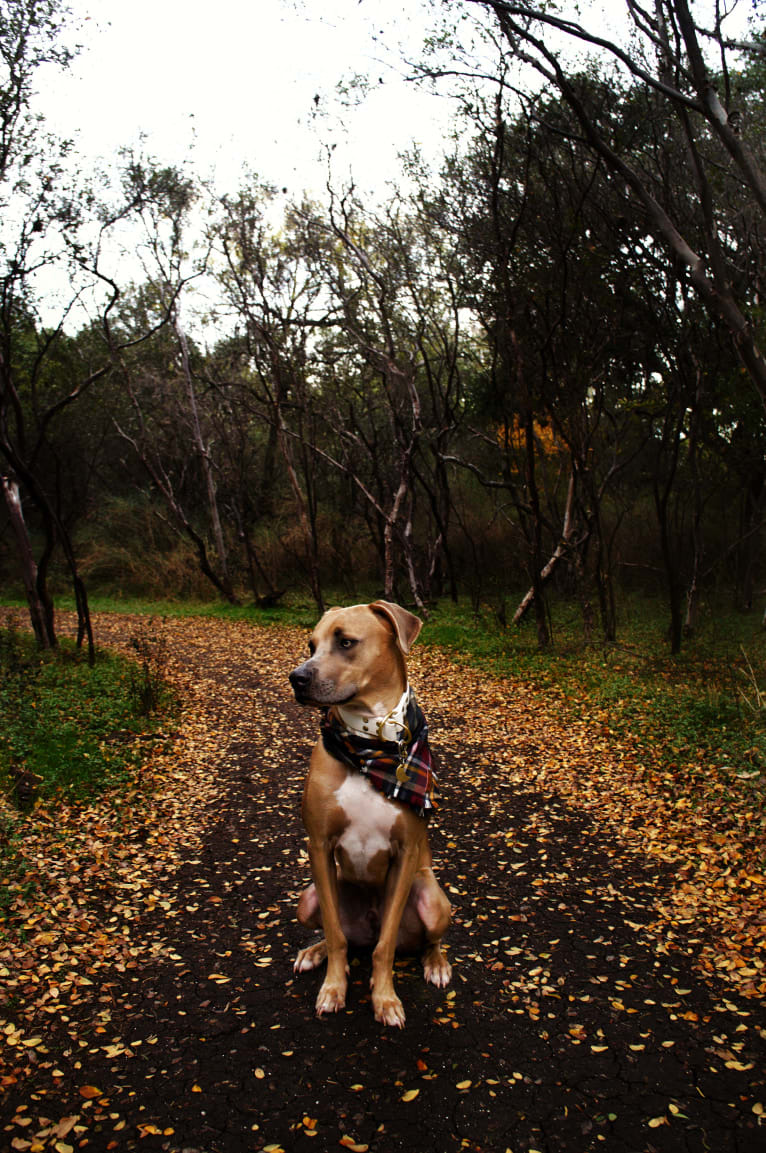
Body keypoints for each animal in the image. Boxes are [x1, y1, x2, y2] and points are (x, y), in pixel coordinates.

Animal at [290, 604, 452, 1028]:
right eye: (311, 645)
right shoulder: (319, 845)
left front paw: (385, 998)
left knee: (427, 940)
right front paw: (333, 987)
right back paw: (314, 952)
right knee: (340, 935)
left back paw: (436, 962)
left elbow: (386, 945)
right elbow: (335, 934)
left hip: (433, 898)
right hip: (308, 898)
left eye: (346, 642)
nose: (297, 678)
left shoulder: (406, 851)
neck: (370, 742)